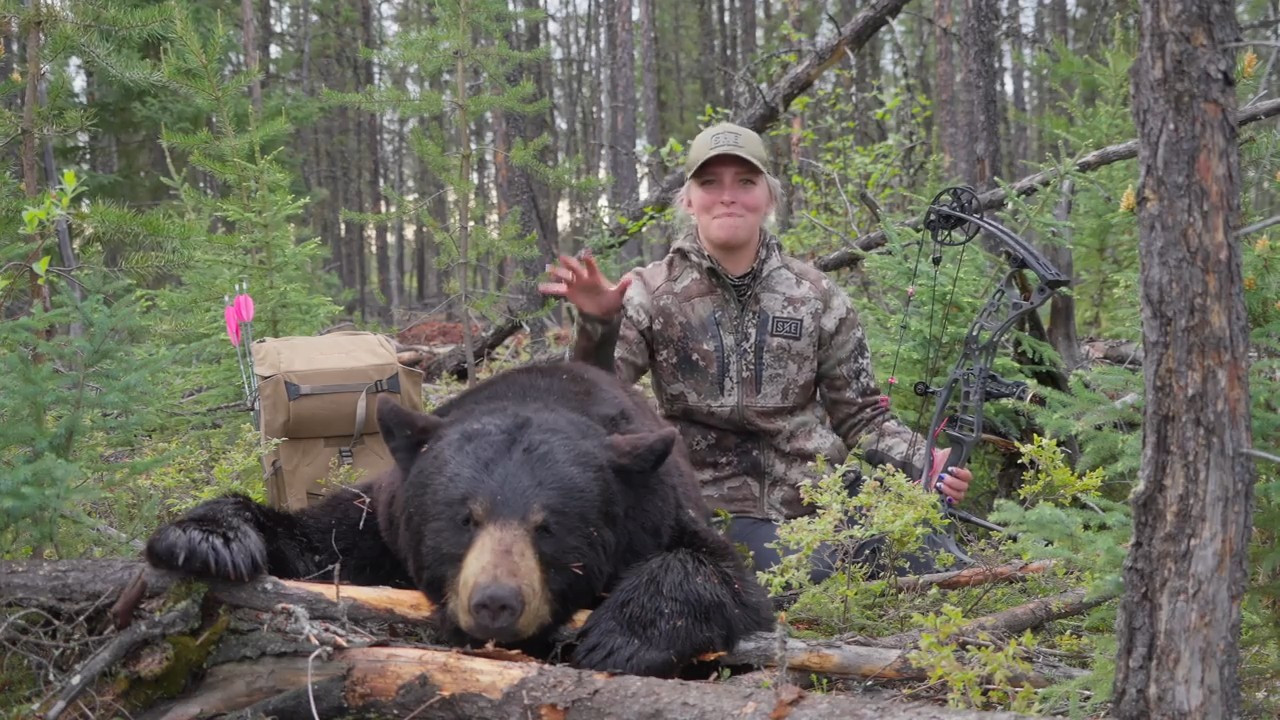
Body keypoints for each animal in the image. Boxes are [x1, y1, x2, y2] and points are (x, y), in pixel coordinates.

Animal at [144, 361, 774, 677]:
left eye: (548, 525)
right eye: (464, 518)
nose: (496, 602)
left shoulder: (658, 513)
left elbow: (722, 572)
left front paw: (618, 637)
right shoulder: (384, 524)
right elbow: (319, 543)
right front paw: (207, 538)